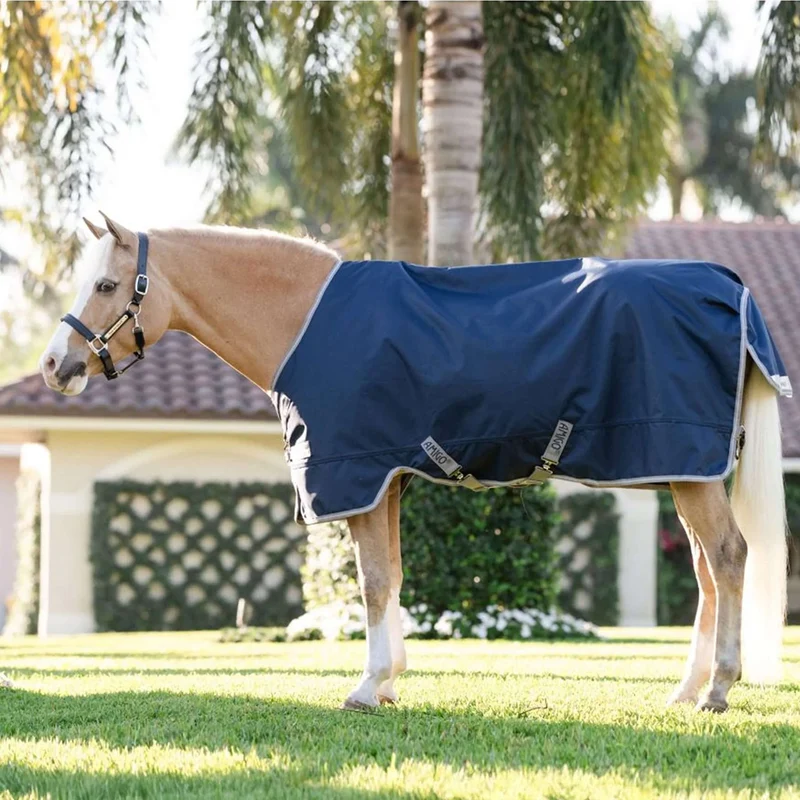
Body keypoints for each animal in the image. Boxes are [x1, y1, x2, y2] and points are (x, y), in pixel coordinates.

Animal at [39, 214, 788, 713]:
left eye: (105, 285)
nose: (53, 366)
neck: (305, 319)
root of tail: (729, 287)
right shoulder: (388, 482)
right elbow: (393, 577)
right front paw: (391, 679)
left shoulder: (358, 477)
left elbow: (372, 583)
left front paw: (368, 686)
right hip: (682, 471)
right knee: (706, 571)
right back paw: (685, 690)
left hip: (687, 471)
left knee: (728, 557)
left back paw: (719, 689)